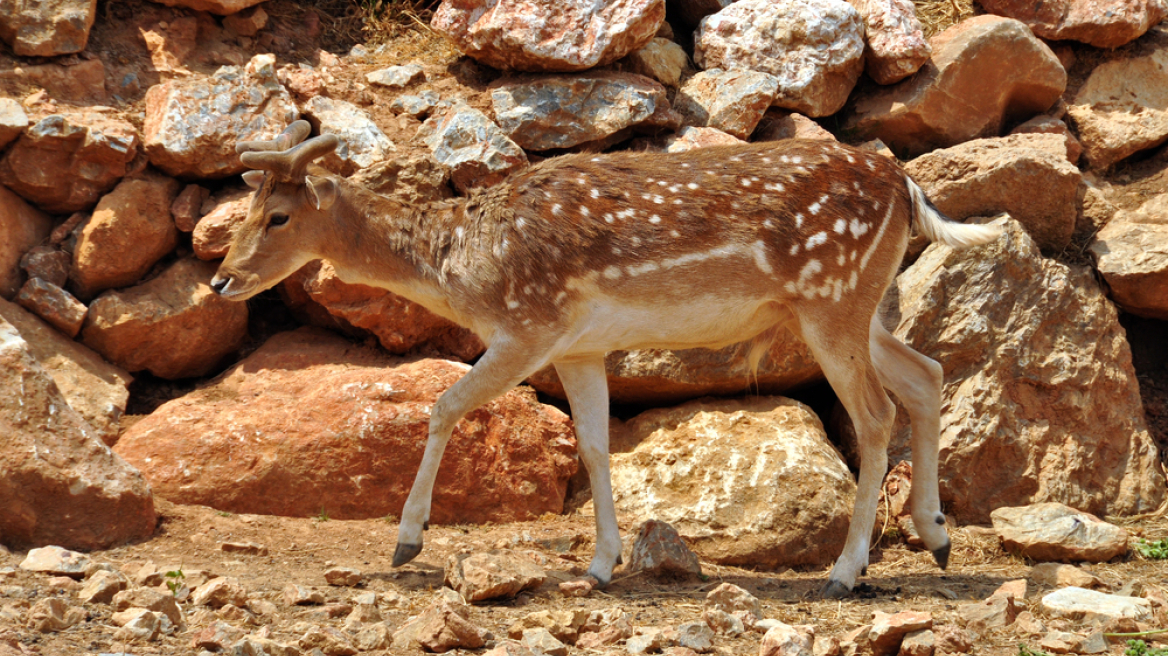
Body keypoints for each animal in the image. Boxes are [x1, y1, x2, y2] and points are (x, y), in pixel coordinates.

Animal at [214, 120, 999, 595]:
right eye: (244, 213)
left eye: (277, 217)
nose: (221, 278)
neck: (464, 269)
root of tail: (908, 186)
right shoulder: (581, 346)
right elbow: (593, 443)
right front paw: (598, 566)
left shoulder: (529, 325)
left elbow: (442, 405)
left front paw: (407, 541)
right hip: (852, 306)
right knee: (926, 376)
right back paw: (937, 537)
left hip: (831, 298)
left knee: (874, 413)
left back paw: (845, 570)